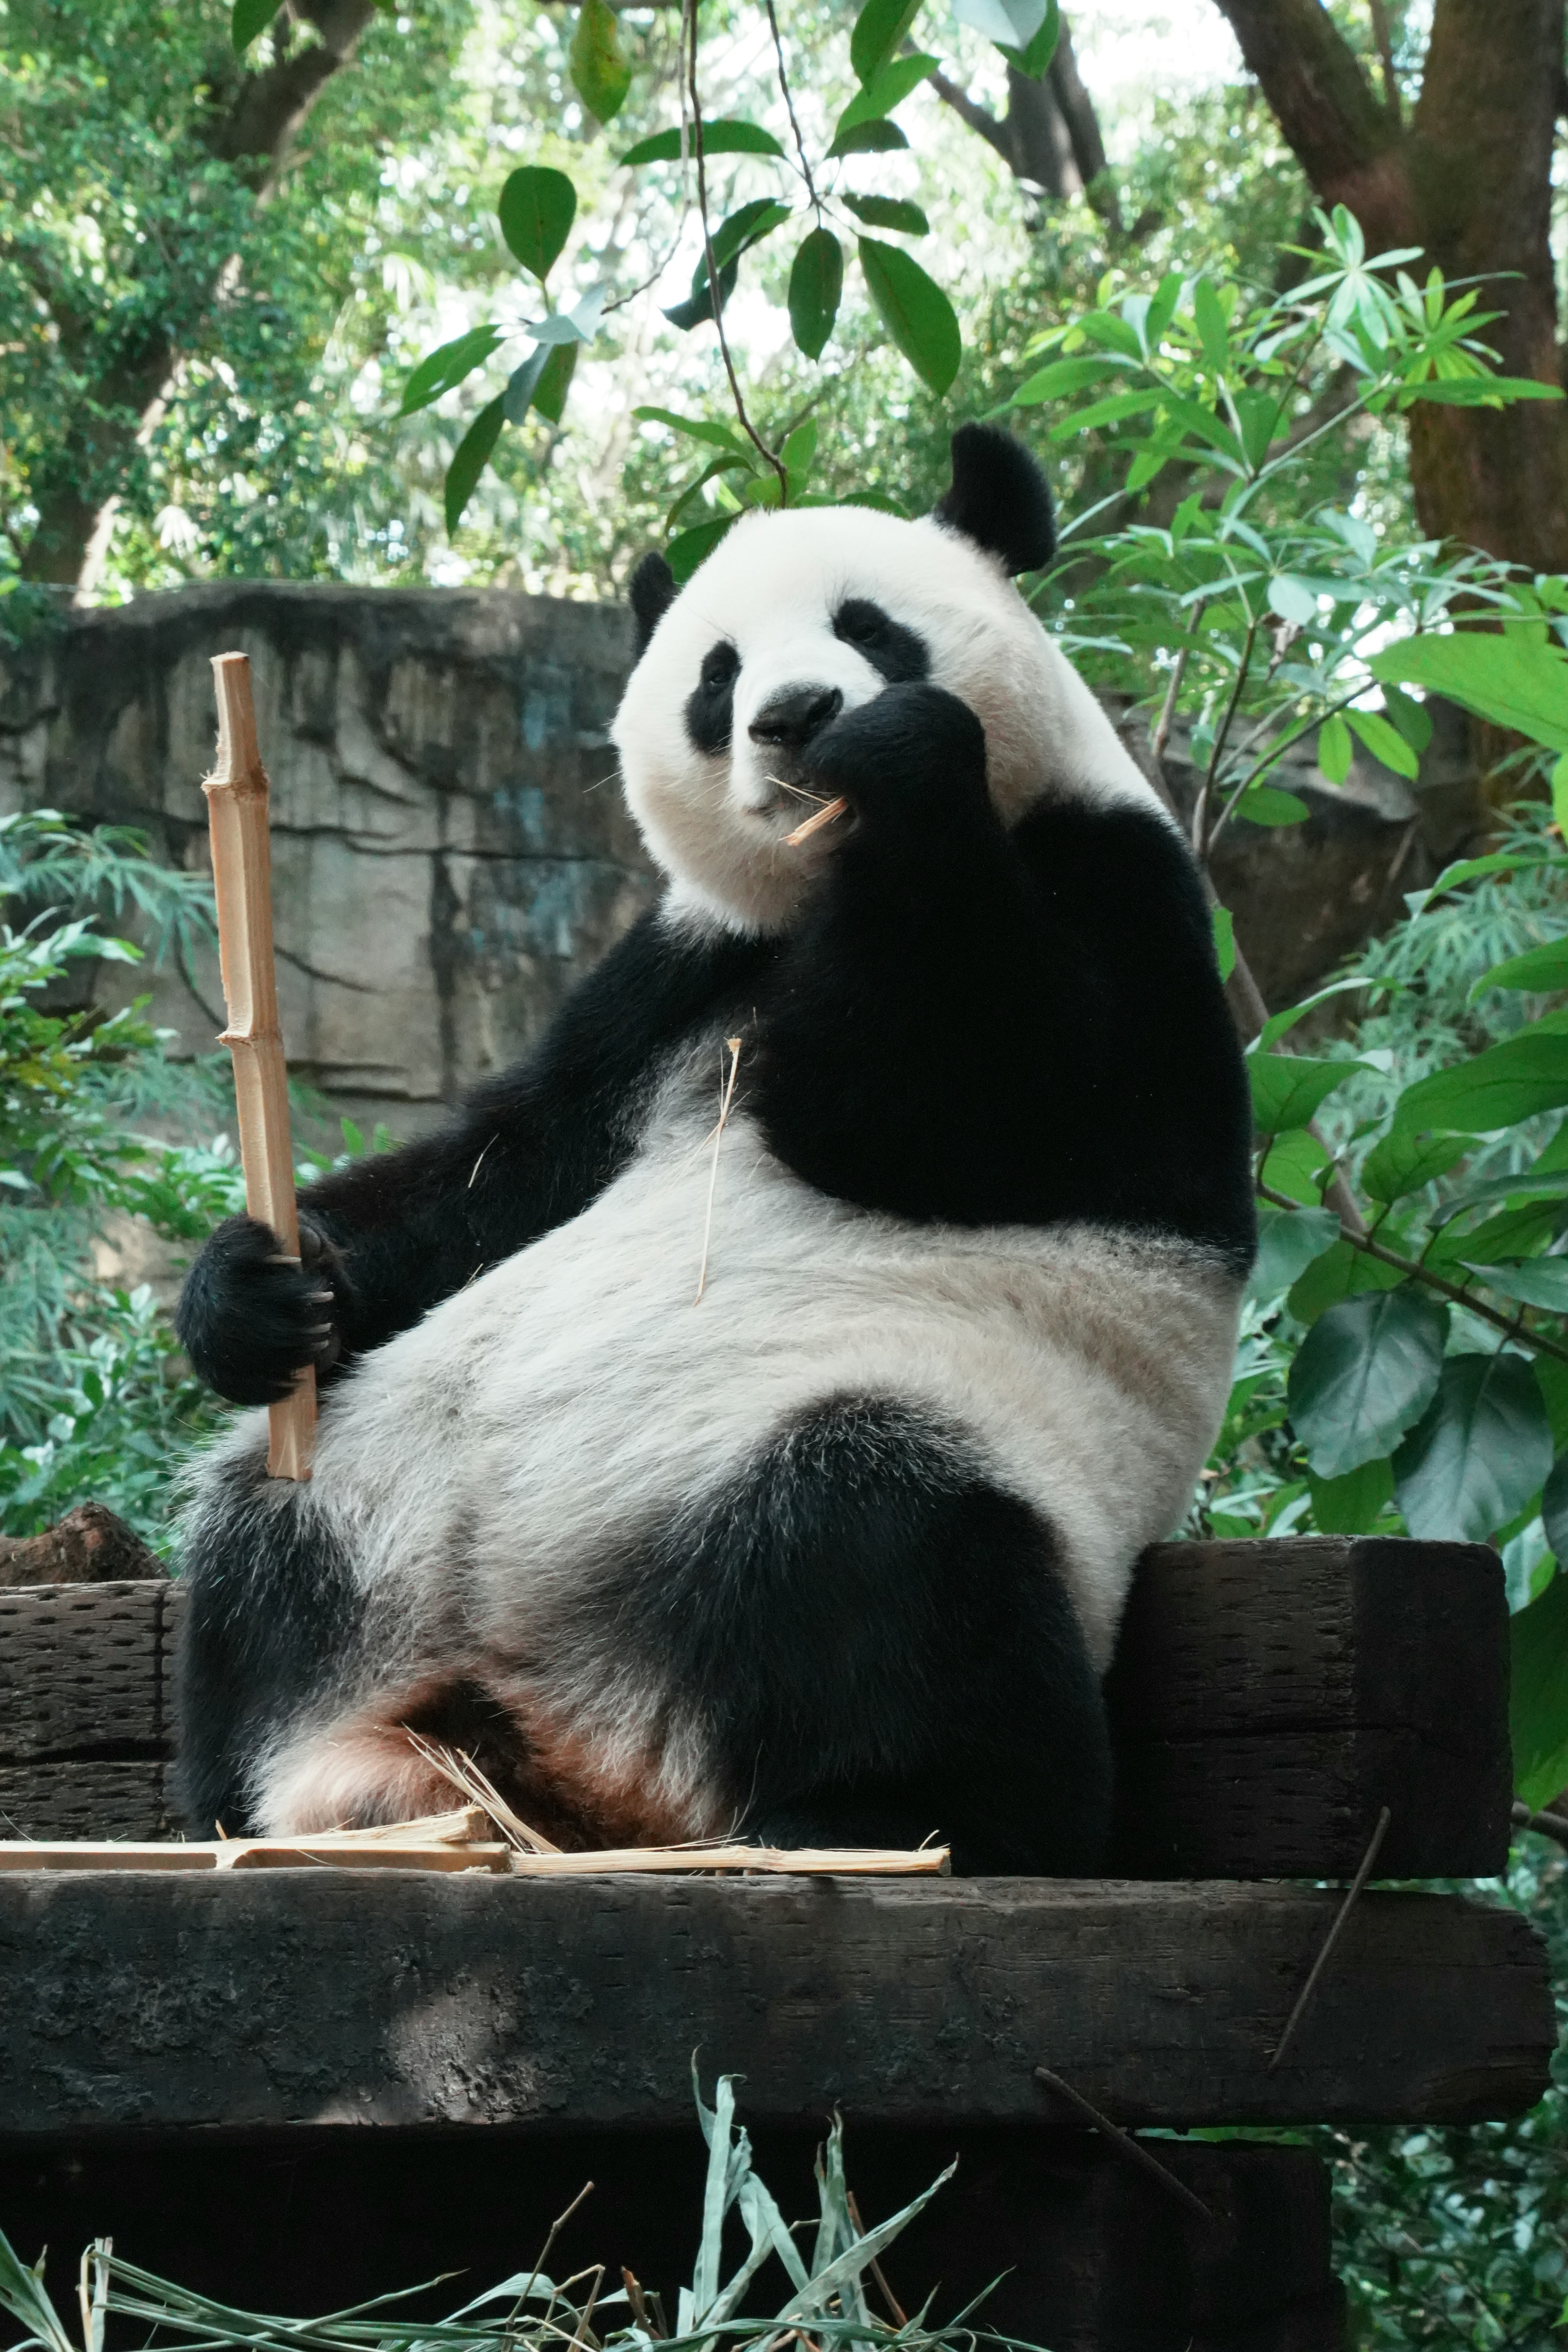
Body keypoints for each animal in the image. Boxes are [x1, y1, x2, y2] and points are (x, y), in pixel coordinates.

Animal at [172, 423, 1255, 1874]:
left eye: (870, 626)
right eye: (717, 675)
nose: (796, 716)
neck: (810, 902)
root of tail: (574, 1744)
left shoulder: (1126, 889)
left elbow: (1008, 1104)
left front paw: (900, 760)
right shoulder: (669, 975)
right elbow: (500, 1174)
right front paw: (253, 1291)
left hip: (914, 1438)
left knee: (884, 1552)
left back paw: (897, 1814)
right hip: (371, 1499)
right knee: (254, 1554)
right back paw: (260, 1797)